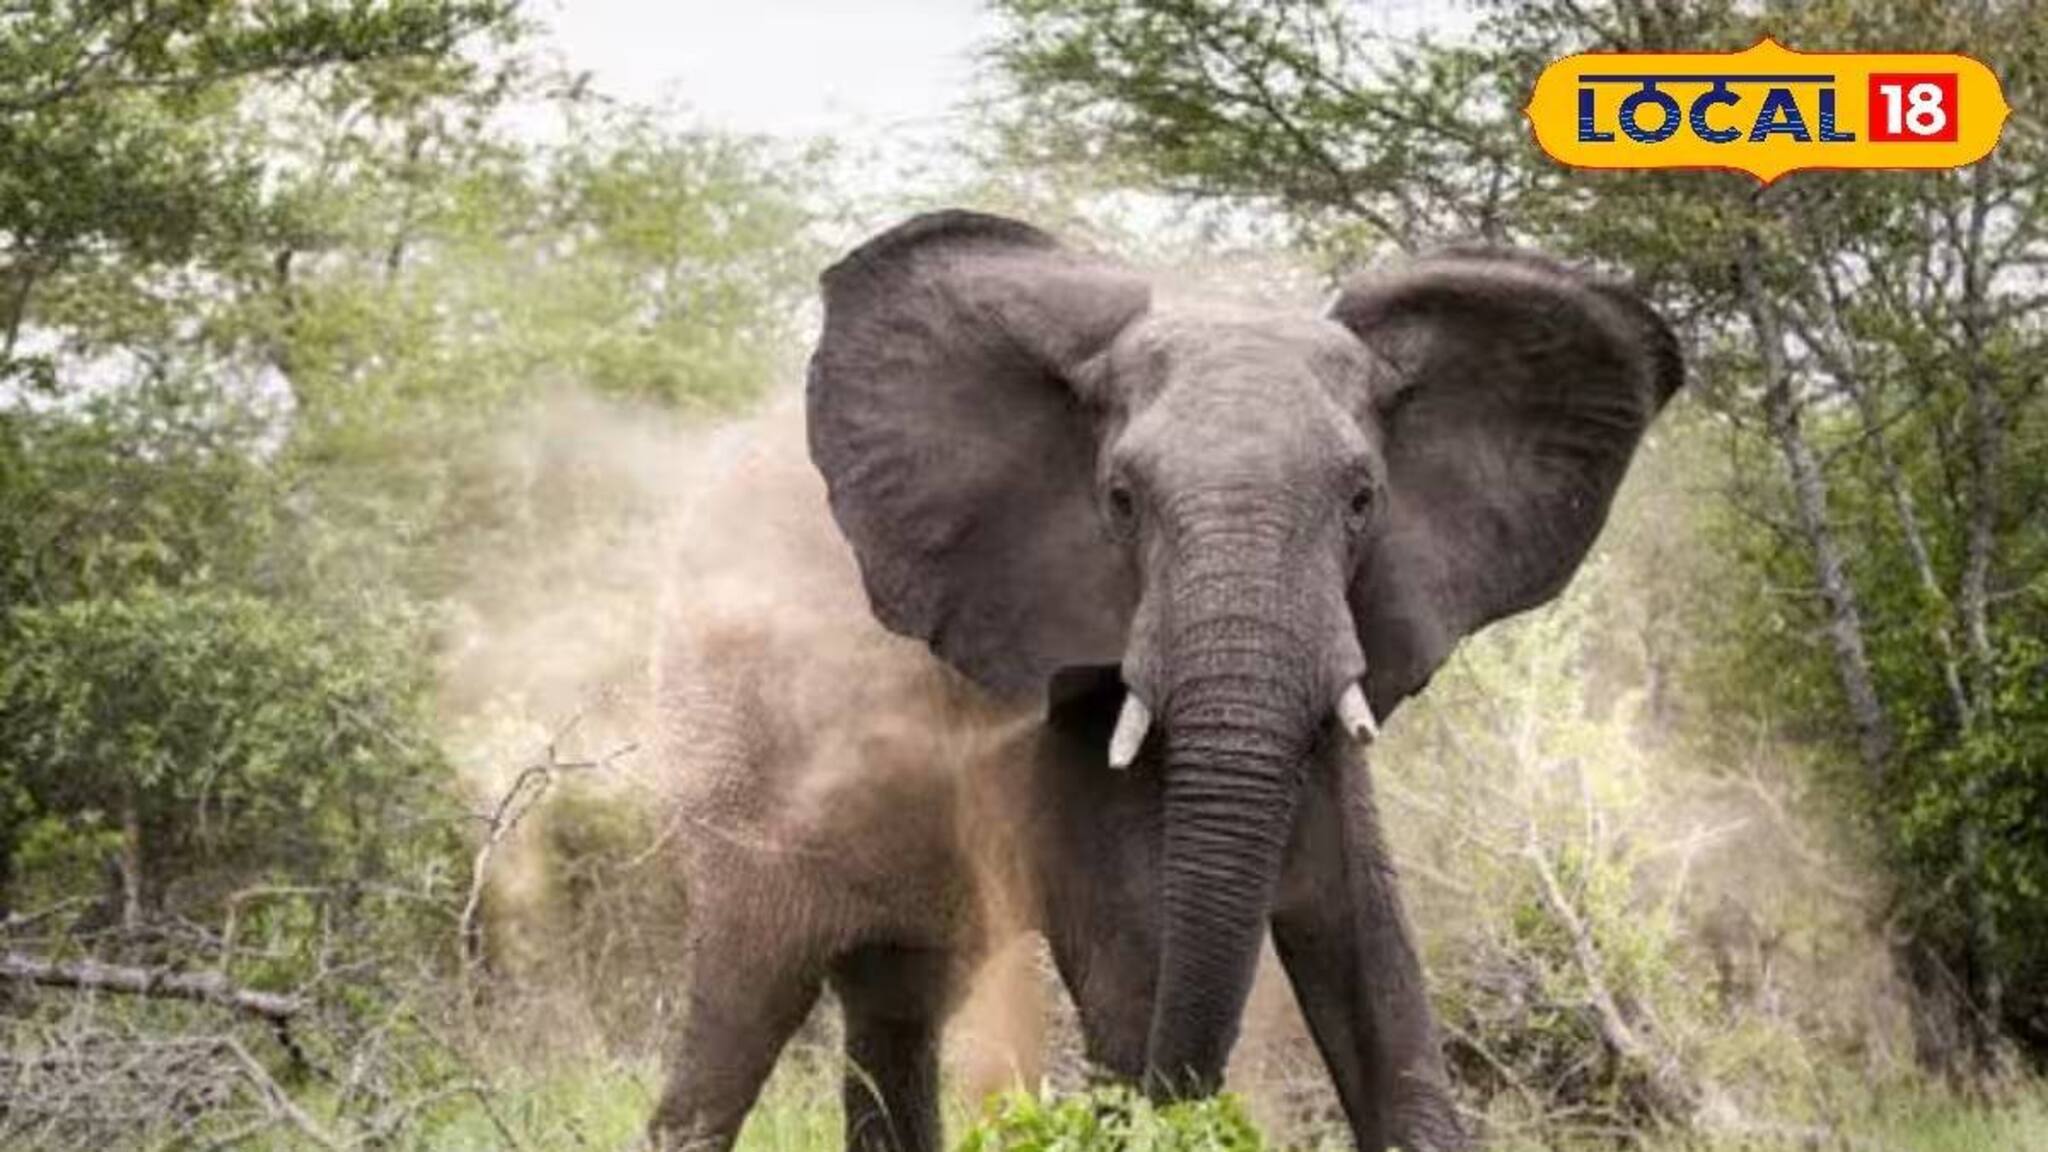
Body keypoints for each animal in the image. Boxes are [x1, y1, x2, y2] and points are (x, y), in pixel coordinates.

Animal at [645, 210, 1683, 1152]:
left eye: (1362, 501)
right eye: (1121, 502)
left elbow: (1373, 956)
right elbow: (1138, 966)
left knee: (895, 1007)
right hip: (738, 764)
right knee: (740, 1011)